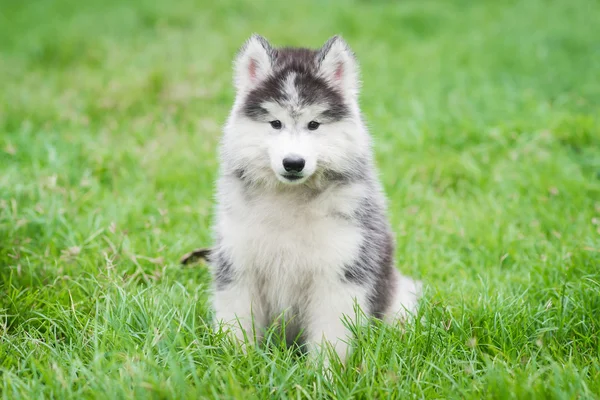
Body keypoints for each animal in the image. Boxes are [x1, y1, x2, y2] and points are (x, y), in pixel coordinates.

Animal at [209, 34, 420, 364]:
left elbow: (330, 337)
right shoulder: (237, 265)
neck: (289, 201)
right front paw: (236, 363)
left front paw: (325, 372)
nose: (293, 163)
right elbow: (237, 324)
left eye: (314, 124)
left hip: (401, 296)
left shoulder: (340, 275)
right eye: (276, 123)